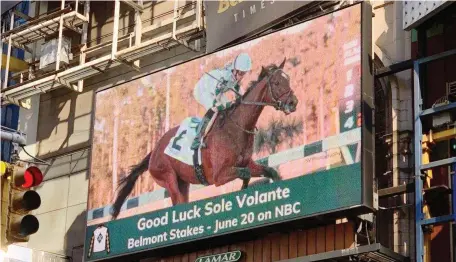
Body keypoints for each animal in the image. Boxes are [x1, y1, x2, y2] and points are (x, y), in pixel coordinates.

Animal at [111, 57, 300, 219]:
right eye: (276, 83)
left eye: (288, 80)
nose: (293, 102)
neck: (236, 128)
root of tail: (154, 151)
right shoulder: (218, 176)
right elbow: (245, 175)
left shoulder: (248, 163)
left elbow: (270, 171)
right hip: (167, 178)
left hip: (183, 182)